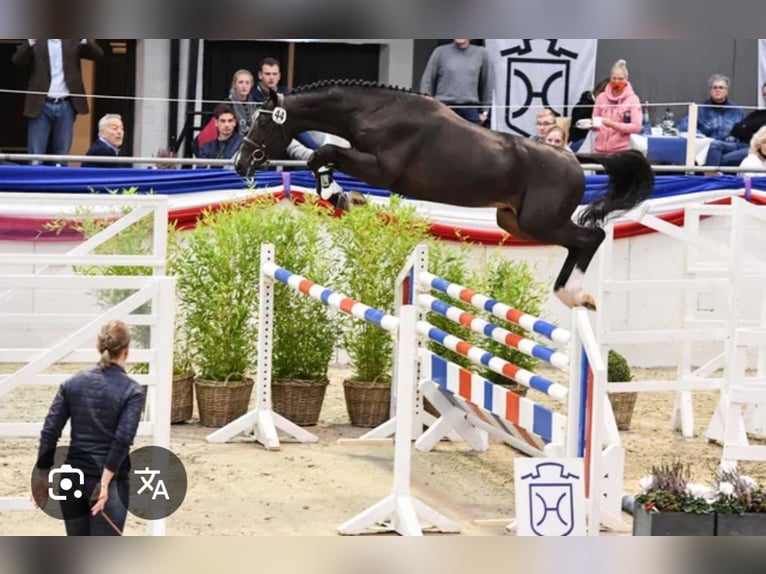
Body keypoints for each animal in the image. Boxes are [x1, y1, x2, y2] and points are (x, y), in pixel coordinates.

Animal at [234, 81, 656, 310]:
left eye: (261, 121)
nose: (240, 163)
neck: (377, 111)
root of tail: (571, 156)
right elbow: (321, 157)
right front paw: (342, 197)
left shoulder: (381, 169)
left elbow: (324, 153)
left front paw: (340, 195)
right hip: (515, 222)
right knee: (579, 241)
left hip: (541, 222)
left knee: (591, 236)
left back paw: (575, 295)